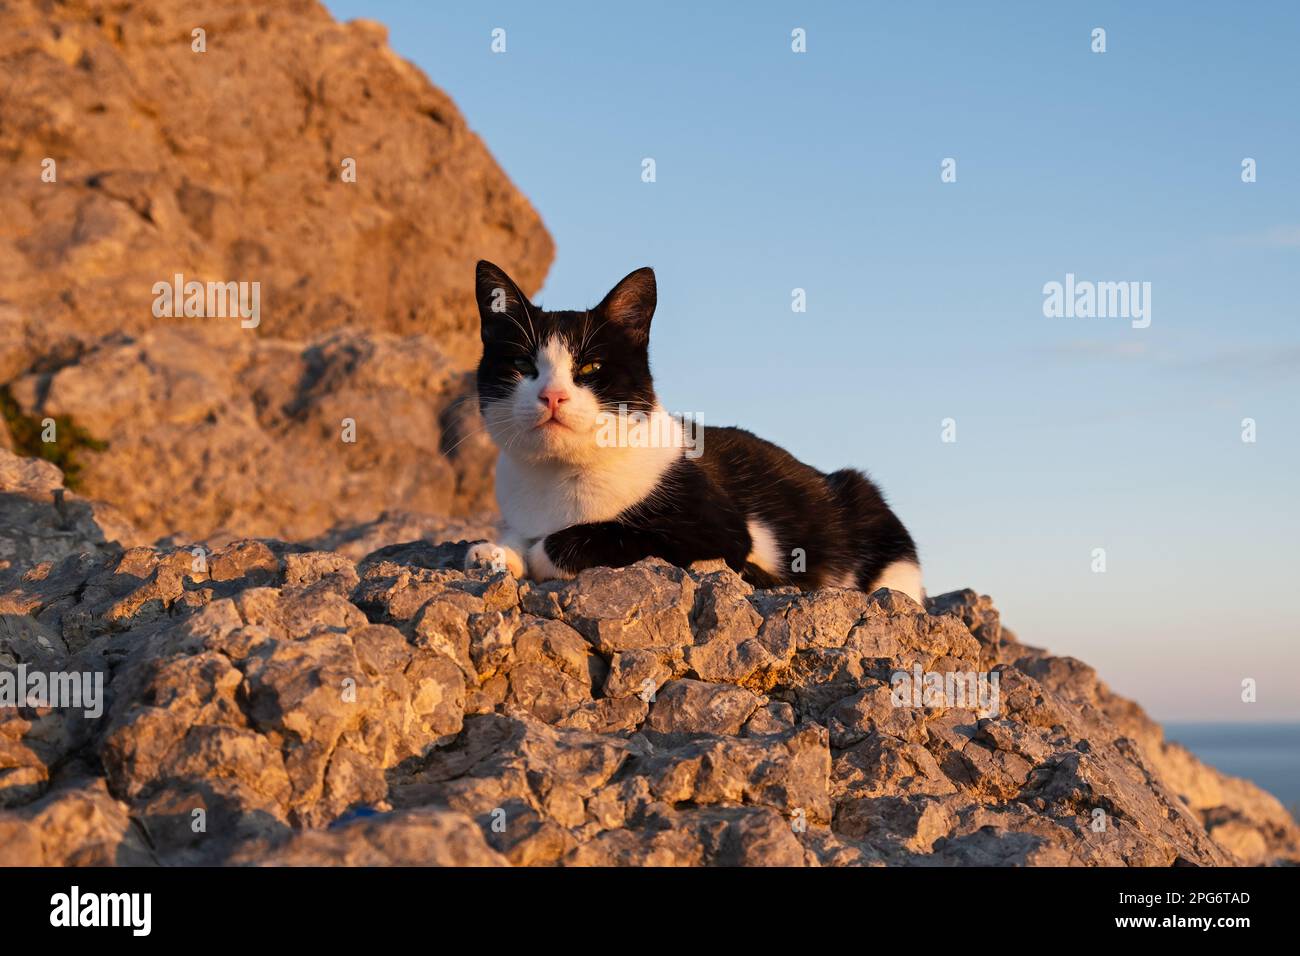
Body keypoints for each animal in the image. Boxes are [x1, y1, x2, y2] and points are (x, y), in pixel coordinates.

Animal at [460, 260, 925, 606]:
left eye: (590, 367)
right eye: (523, 365)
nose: (553, 396)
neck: (556, 480)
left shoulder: (716, 533)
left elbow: (585, 539)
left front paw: (534, 553)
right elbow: (515, 537)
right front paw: (494, 551)